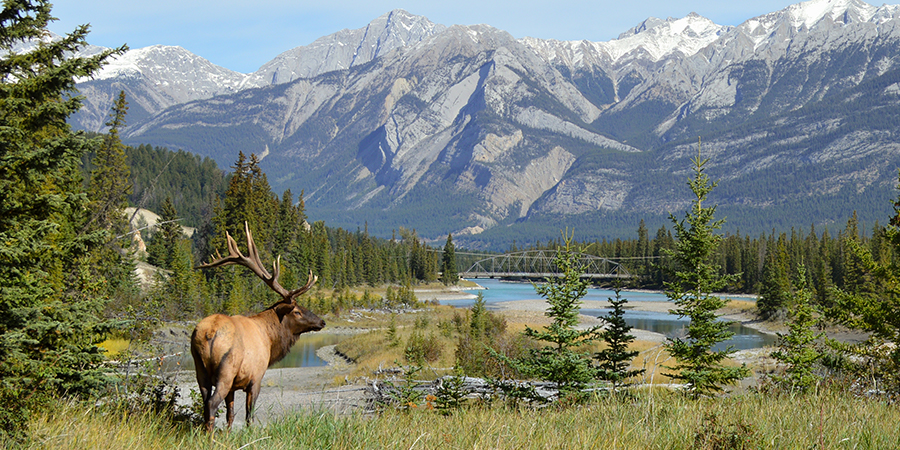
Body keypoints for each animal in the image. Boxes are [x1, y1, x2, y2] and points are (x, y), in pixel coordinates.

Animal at [192, 223, 326, 430]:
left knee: (206, 403)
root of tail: (209, 333)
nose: (322, 321)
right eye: (297, 311)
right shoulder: (256, 377)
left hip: (200, 368)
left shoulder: (234, 386)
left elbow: (230, 415)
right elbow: (249, 416)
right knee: (212, 404)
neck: (270, 339)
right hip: (226, 369)